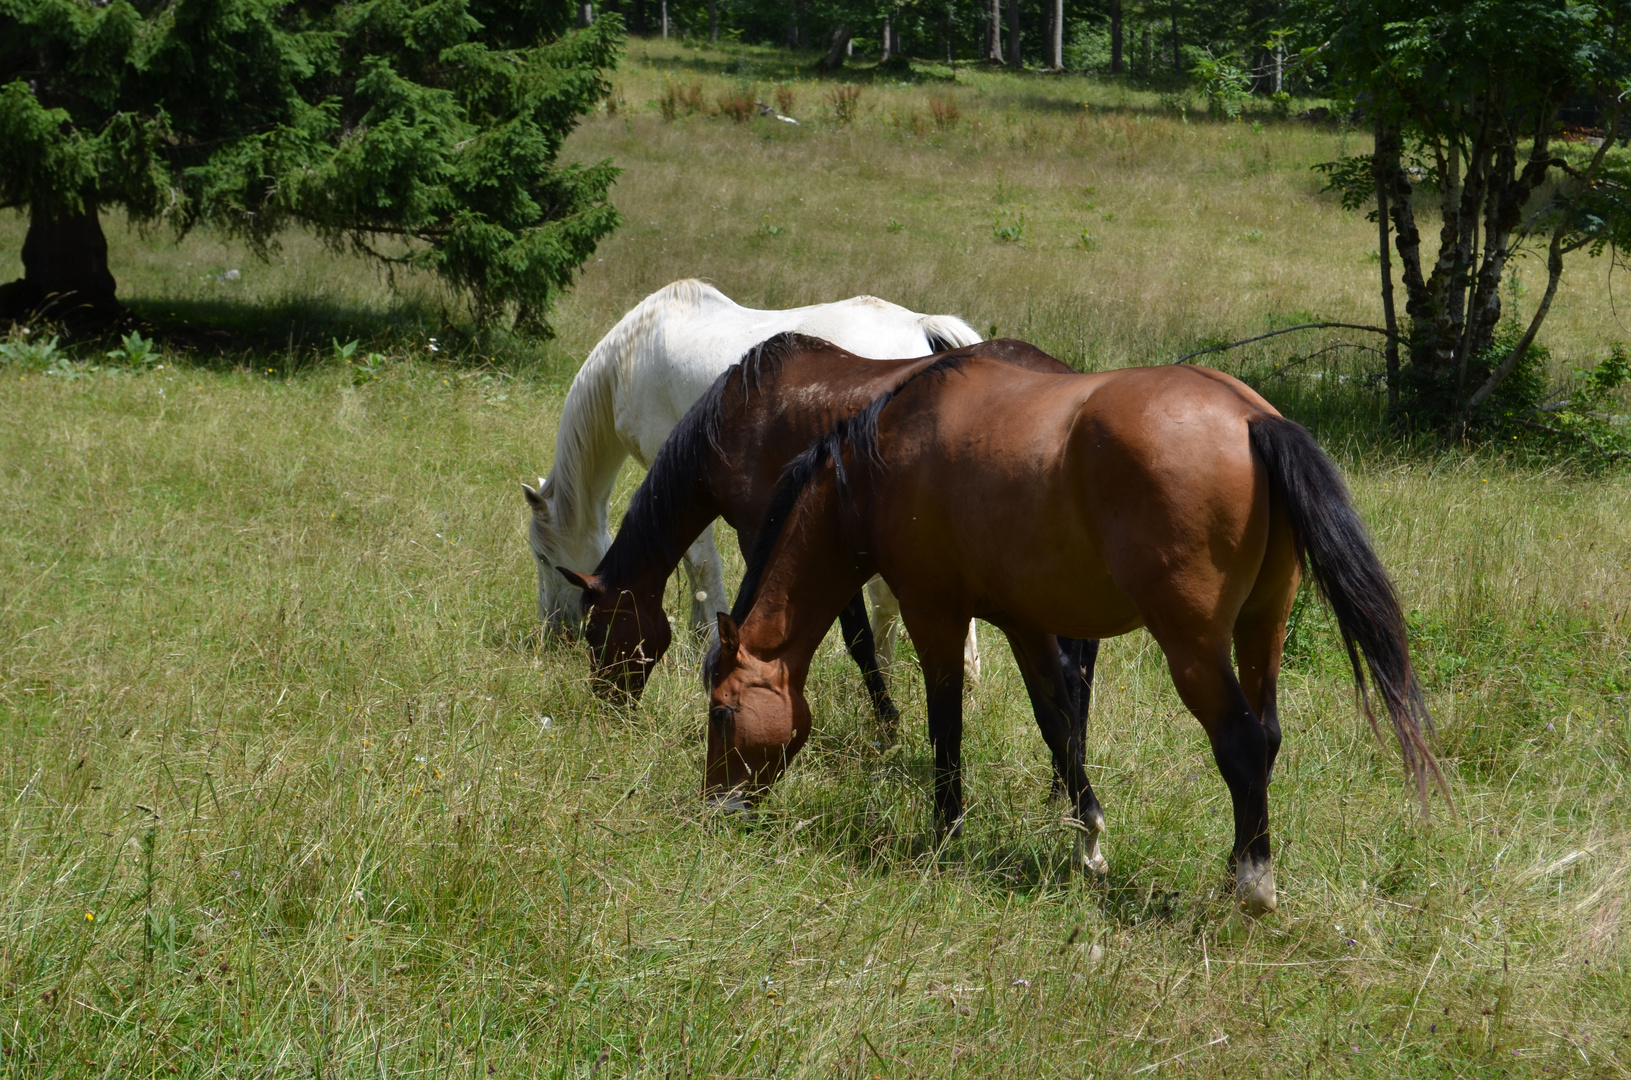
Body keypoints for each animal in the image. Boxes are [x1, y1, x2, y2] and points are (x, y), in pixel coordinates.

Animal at [525, 280, 978, 678]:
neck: (631, 353)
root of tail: (920, 325)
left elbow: (701, 564)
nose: (555, 631)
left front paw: (709, 642)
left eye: (543, 557)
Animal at [554, 332, 1102, 737]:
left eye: (597, 633)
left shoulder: (763, 534)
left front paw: (886, 723)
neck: (736, 418)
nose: (607, 707)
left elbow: (854, 637)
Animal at [707, 350, 1448, 920]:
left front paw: (945, 835)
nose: (716, 807)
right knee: (1265, 737)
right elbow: (1057, 724)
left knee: (1239, 743)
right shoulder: (1025, 623)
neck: (878, 463)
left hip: (1193, 645)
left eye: (721, 713)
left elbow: (946, 723)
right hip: (1261, 627)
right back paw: (1236, 866)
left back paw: (1252, 888)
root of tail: (1250, 417)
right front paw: (1087, 839)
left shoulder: (934, 613)